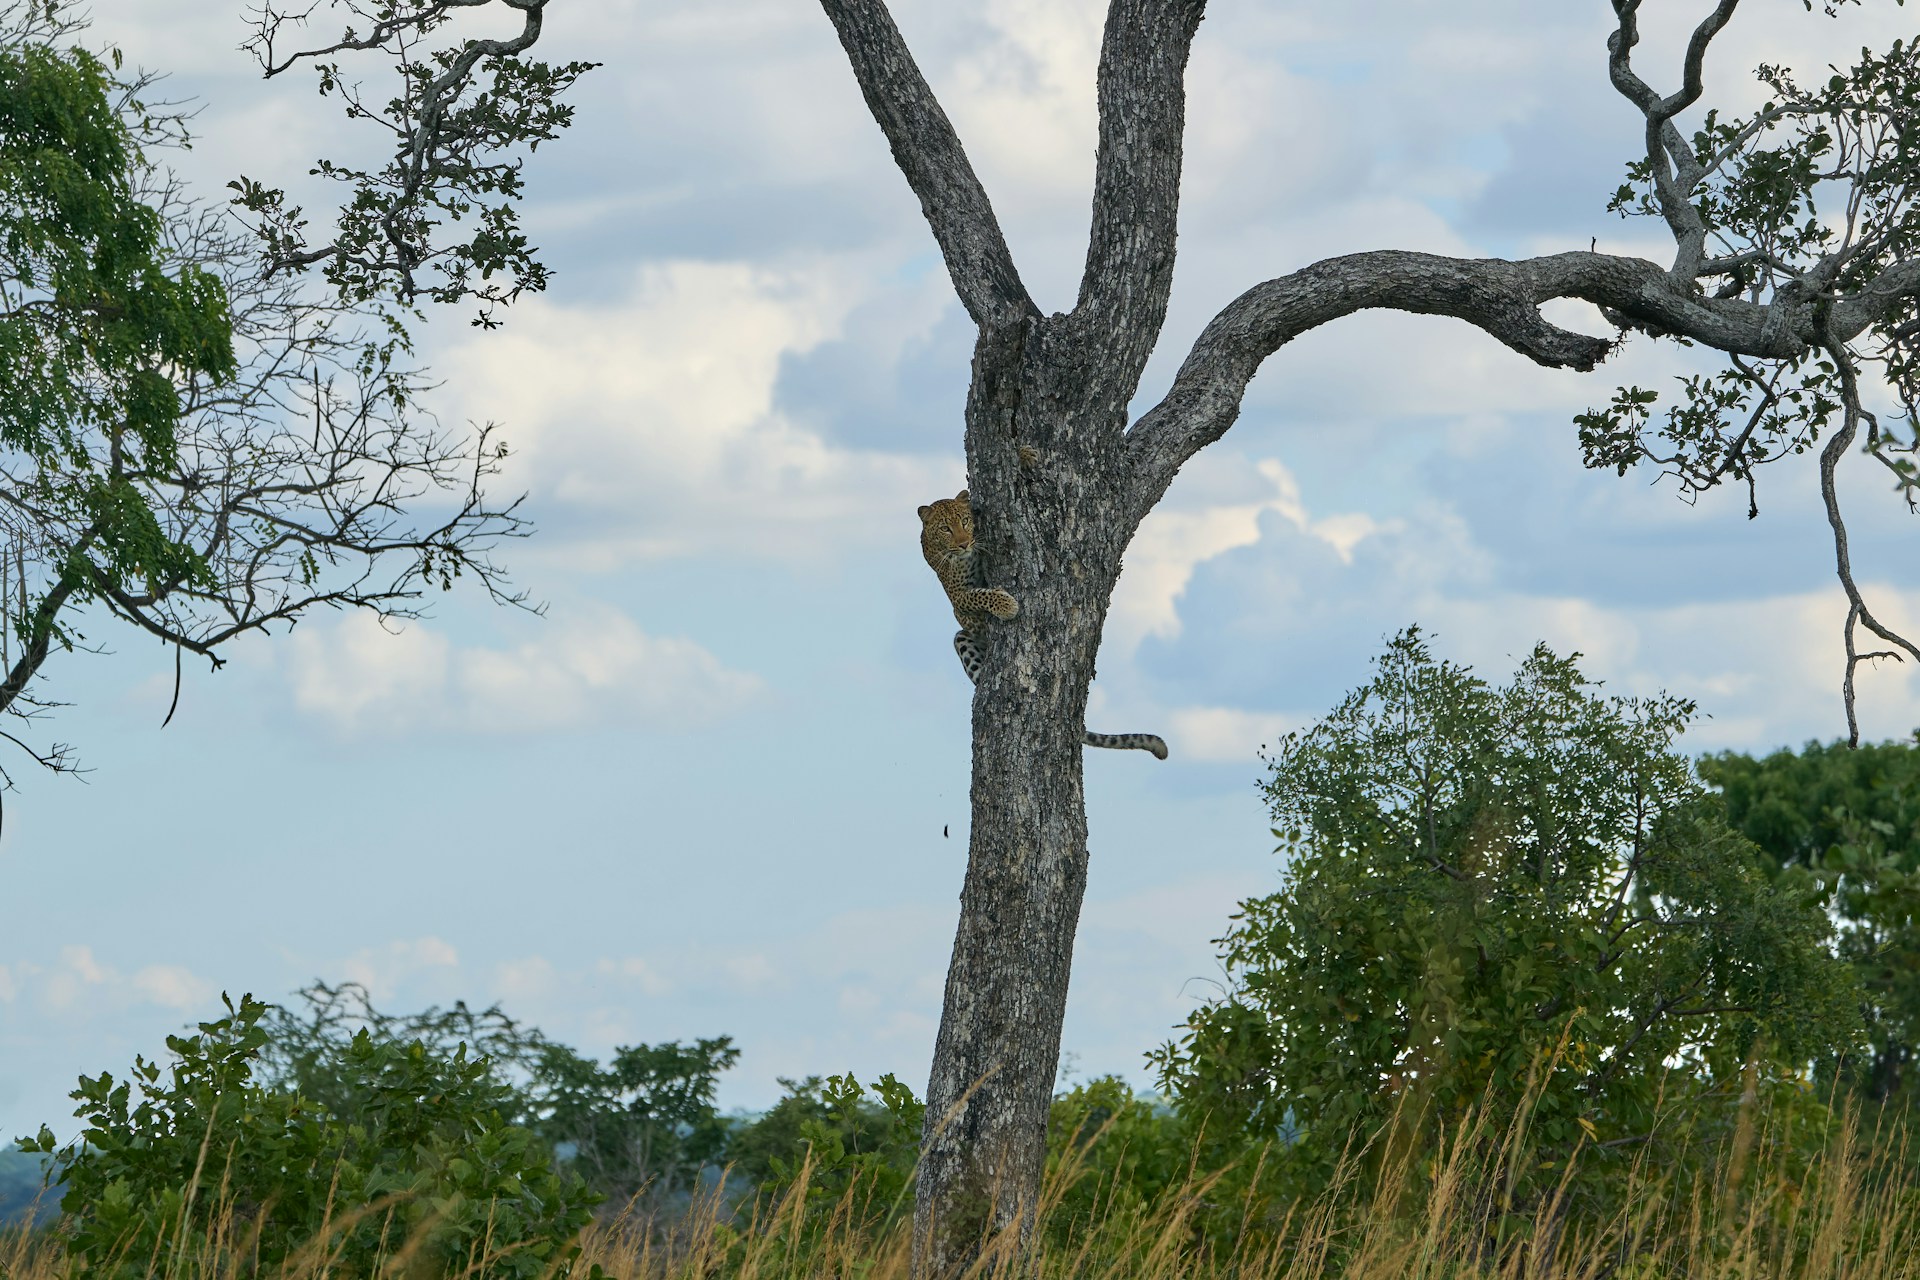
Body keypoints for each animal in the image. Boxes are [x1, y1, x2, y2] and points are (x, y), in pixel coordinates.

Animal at [918, 489, 1168, 760]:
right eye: (945, 528)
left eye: (965, 521)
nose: (964, 543)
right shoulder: (958, 599)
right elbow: (977, 595)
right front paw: (1007, 606)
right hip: (961, 638)